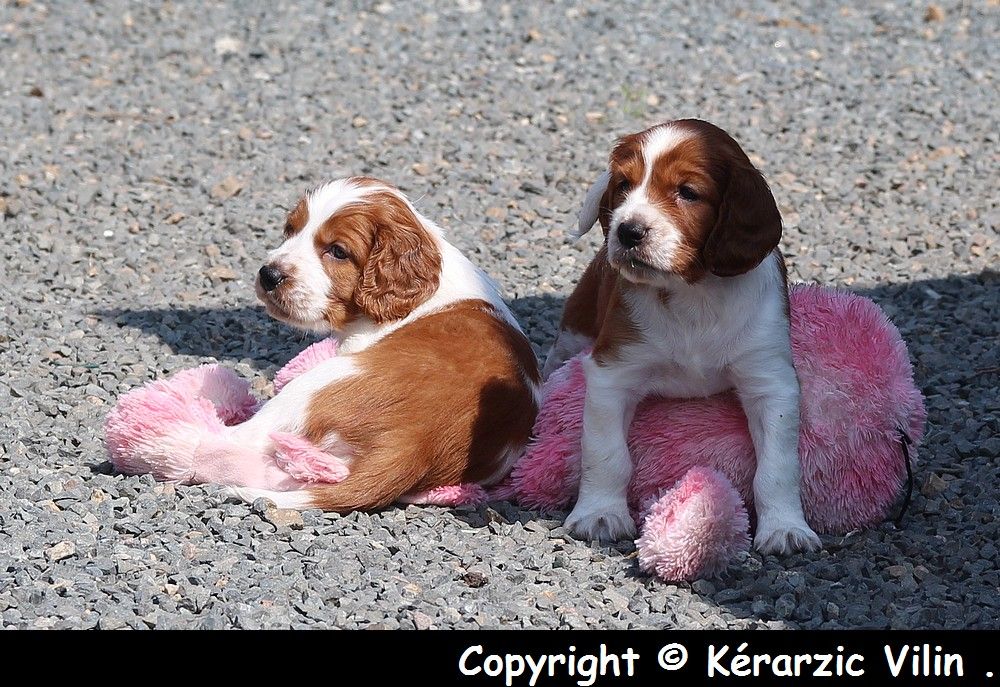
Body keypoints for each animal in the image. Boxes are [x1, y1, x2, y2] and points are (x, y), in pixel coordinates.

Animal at [548, 121, 820, 556]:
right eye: (624, 185)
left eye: (688, 192)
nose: (627, 231)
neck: (693, 293)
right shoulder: (614, 371)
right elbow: (606, 452)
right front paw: (599, 514)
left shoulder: (769, 379)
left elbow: (777, 467)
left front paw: (785, 528)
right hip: (575, 329)